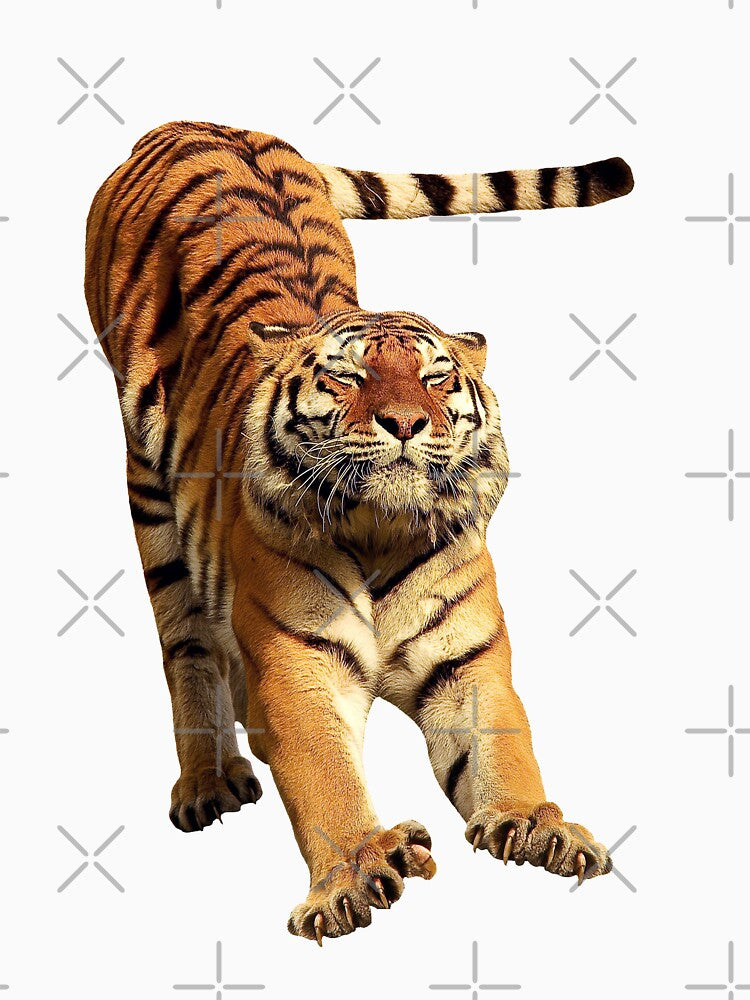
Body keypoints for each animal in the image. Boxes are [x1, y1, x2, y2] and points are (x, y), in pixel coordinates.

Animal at [84, 120, 633, 944]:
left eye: (436, 378)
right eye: (348, 377)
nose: (405, 422)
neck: (380, 528)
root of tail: (190, 124)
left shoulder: (468, 664)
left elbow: (504, 752)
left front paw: (537, 824)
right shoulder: (300, 669)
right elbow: (324, 777)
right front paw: (356, 871)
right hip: (148, 496)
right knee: (185, 646)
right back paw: (208, 783)